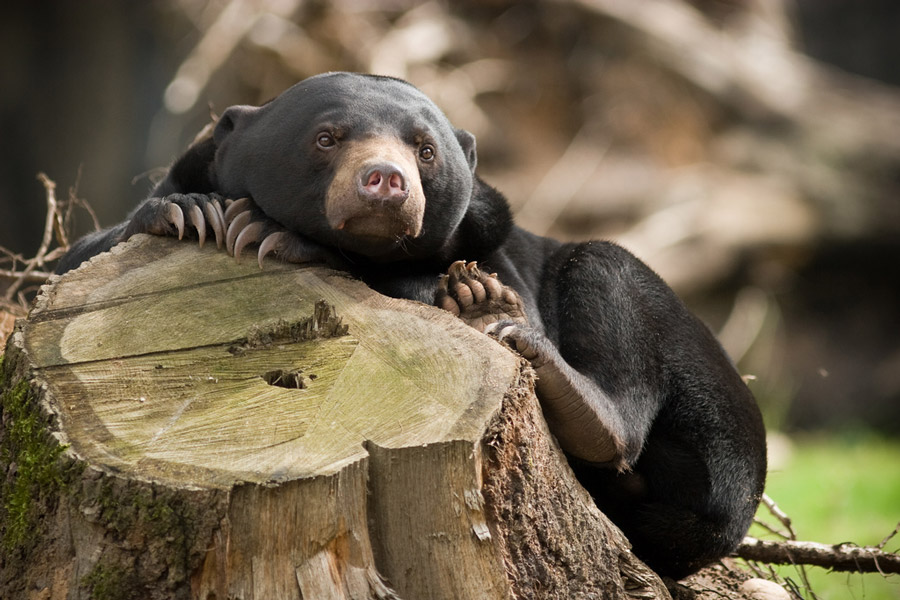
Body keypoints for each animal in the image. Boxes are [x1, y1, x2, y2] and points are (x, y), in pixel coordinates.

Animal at [59, 72, 768, 580]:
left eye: (425, 151)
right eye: (327, 138)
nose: (386, 181)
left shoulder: (496, 240)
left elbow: (447, 283)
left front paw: (268, 231)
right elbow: (89, 249)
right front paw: (193, 213)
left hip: (712, 404)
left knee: (607, 269)